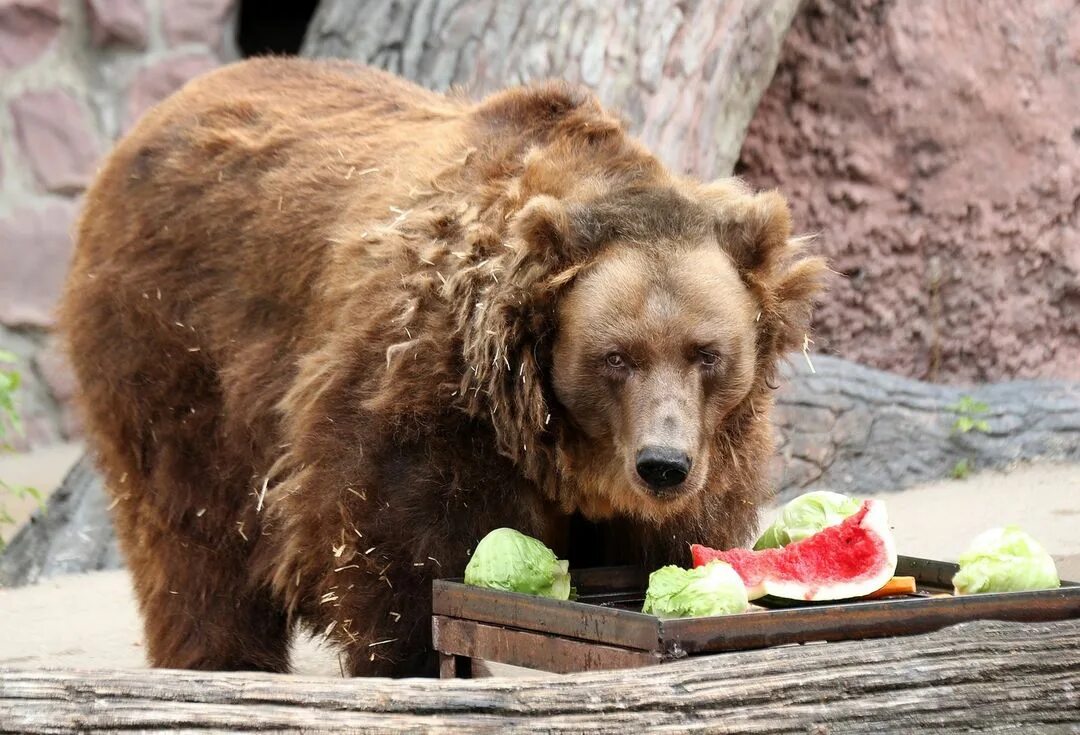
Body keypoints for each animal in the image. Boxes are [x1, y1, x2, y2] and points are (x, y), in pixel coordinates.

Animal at [59, 58, 825, 677]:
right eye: (617, 357)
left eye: (707, 352)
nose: (662, 464)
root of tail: (157, 115)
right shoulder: (430, 392)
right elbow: (396, 554)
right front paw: (420, 662)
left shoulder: (711, 446)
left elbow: (673, 543)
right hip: (177, 341)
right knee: (194, 525)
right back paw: (221, 656)